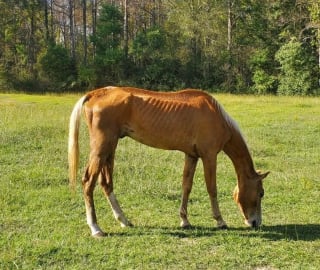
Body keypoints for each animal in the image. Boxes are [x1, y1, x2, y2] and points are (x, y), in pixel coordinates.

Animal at [69, 86, 268, 236]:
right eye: (261, 193)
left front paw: (184, 220)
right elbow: (212, 188)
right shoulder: (209, 156)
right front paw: (220, 221)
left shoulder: (192, 155)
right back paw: (95, 228)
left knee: (106, 183)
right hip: (101, 149)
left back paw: (124, 220)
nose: (255, 222)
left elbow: (186, 186)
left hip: (110, 149)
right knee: (88, 182)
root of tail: (96, 93)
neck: (216, 115)